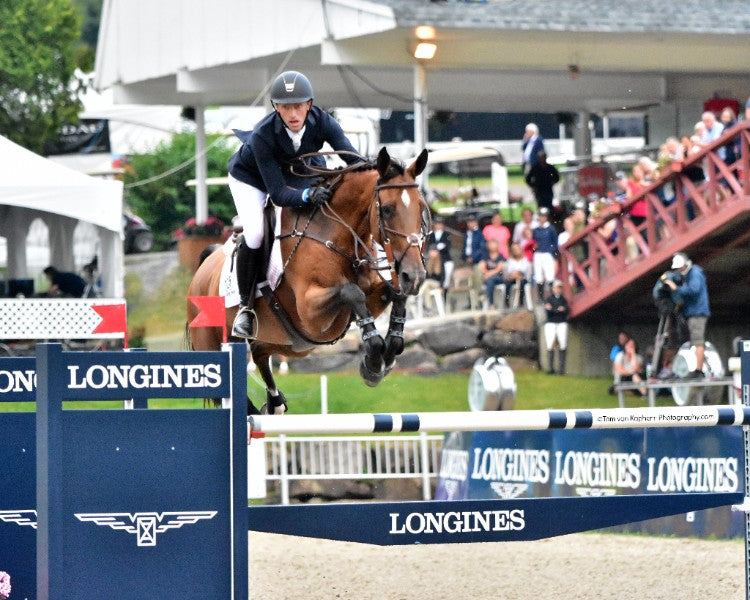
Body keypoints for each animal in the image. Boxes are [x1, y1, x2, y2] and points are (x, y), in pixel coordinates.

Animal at [188, 148, 432, 414]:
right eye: (387, 209)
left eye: (421, 208)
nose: (415, 276)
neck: (337, 234)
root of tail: (202, 268)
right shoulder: (310, 312)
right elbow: (351, 291)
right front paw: (374, 360)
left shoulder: (372, 296)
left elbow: (395, 294)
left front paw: (386, 355)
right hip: (214, 344)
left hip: (285, 341)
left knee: (260, 353)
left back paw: (274, 403)